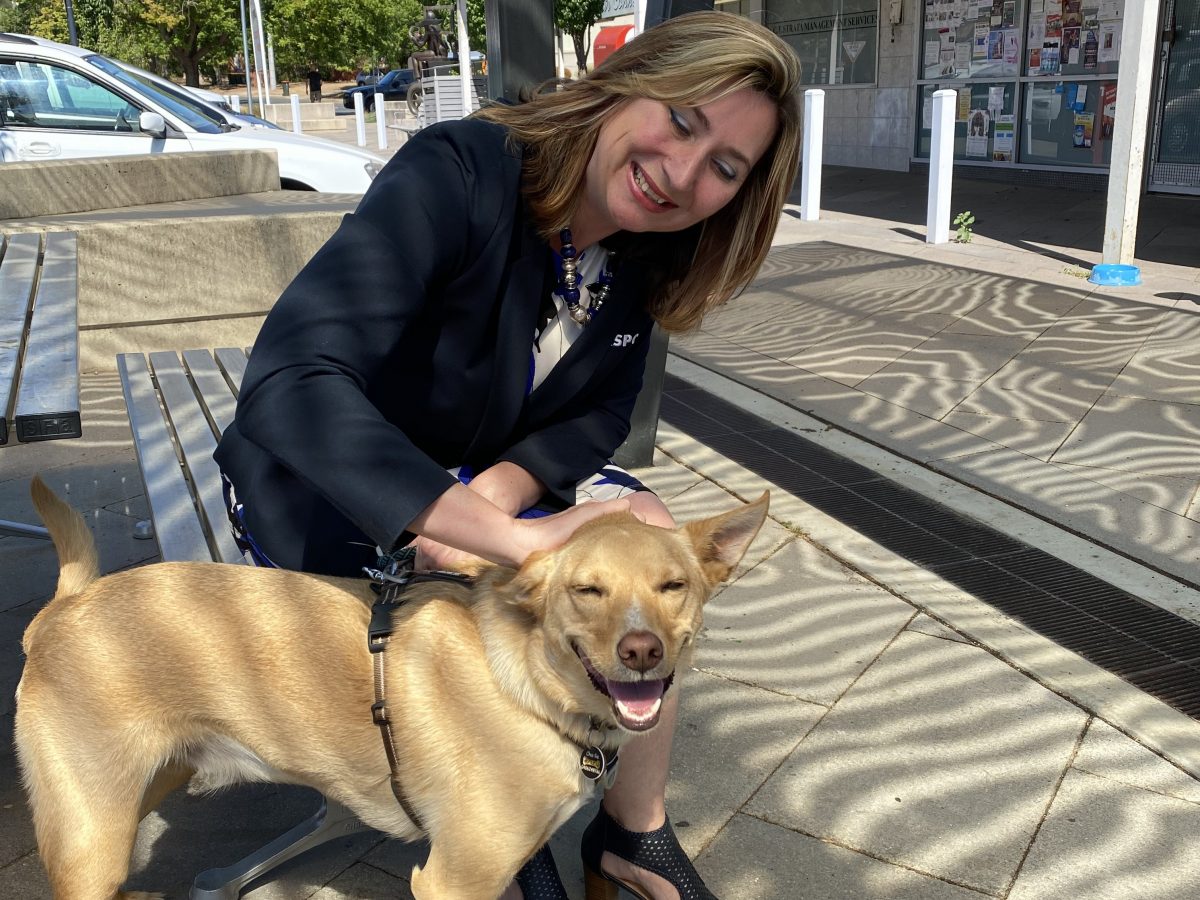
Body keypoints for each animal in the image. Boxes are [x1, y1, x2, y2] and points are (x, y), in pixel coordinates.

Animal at [16, 480, 768, 900]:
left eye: (672, 586)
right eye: (588, 591)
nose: (642, 651)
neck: (528, 686)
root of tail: (67, 602)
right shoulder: (453, 882)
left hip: (141, 792)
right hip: (92, 841)